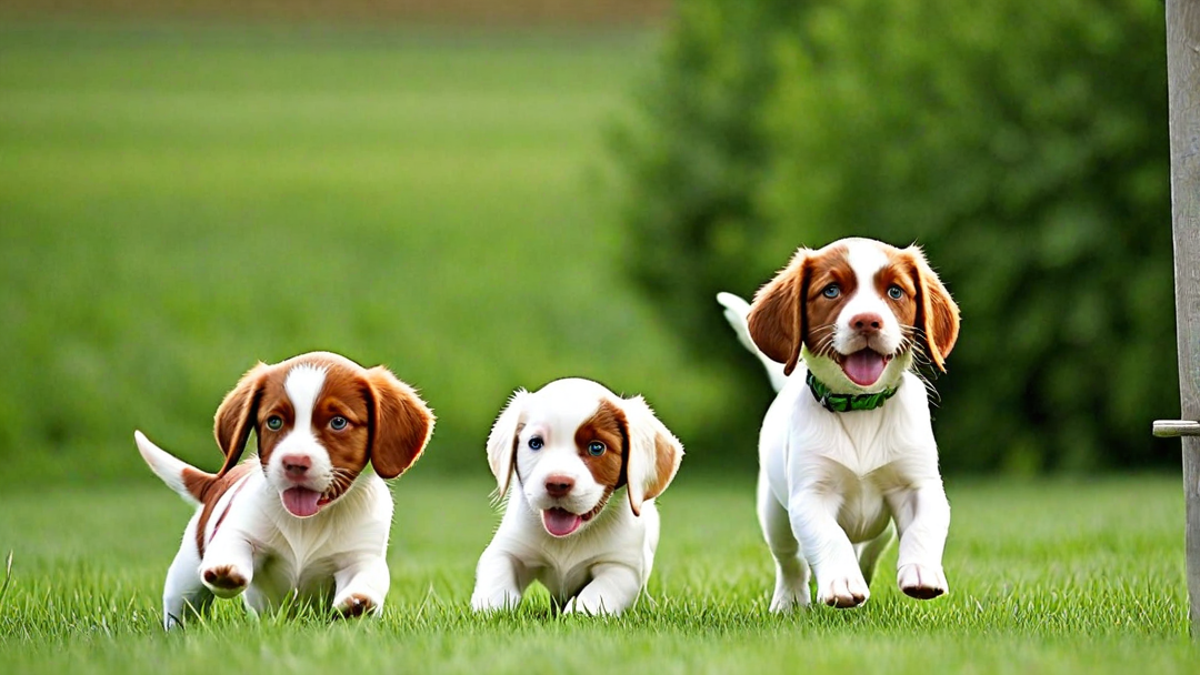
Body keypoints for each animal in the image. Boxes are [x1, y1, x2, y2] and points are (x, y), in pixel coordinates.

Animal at [134, 348, 434, 629]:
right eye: (274, 421)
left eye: (338, 422)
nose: (295, 462)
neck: (308, 521)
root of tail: (217, 483)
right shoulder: (240, 530)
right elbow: (234, 544)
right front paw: (225, 571)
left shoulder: (361, 556)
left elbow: (366, 578)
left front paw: (359, 602)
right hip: (184, 578)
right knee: (180, 608)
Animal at [475, 379, 691, 614]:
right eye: (535, 443)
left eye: (596, 447)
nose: (557, 483)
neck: (568, 539)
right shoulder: (506, 549)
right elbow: (497, 582)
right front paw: (491, 608)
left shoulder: (622, 567)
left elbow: (595, 595)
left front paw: (577, 612)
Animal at [715, 237, 960, 610]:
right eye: (831, 291)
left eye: (895, 291)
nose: (867, 321)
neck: (859, 408)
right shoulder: (809, 495)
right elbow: (829, 538)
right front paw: (842, 584)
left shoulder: (918, 485)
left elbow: (924, 526)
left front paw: (922, 573)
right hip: (774, 513)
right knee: (790, 561)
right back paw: (790, 601)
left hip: (880, 532)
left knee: (868, 554)